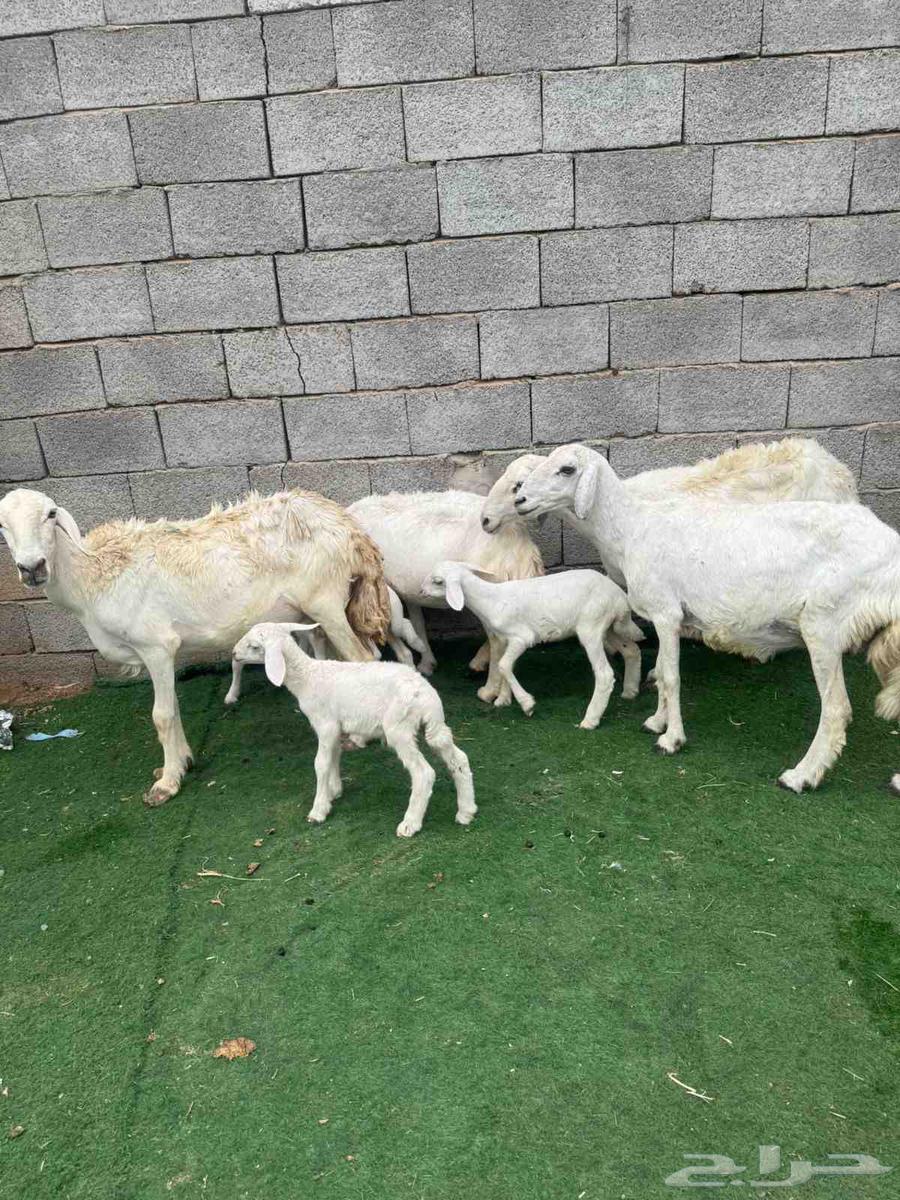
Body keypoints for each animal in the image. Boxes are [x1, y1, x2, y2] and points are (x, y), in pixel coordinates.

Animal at [0, 488, 391, 807]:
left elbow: (161, 715)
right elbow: (173, 708)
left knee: (362, 657)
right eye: (2, 524)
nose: (32, 568)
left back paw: (358, 737)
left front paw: (166, 785)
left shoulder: (155, 644)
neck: (90, 577)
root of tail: (347, 525)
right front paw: (181, 762)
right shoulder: (163, 653)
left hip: (326, 599)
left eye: (51, 514)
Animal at [231, 622, 477, 837]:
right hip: (436, 723)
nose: (233, 654)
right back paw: (466, 811)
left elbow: (320, 764)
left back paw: (410, 823)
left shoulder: (325, 724)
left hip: (399, 727)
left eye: (254, 646)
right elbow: (334, 756)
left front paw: (318, 809)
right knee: (459, 759)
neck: (308, 677)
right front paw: (334, 791)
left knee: (423, 773)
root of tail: (424, 694)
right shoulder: (335, 727)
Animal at [421, 561, 644, 726]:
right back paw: (630, 691)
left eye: (437, 581)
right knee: (632, 650)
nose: (421, 591)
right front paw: (503, 700)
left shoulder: (521, 637)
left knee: (604, 674)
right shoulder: (504, 639)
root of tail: (620, 598)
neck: (490, 600)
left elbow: (503, 665)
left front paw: (526, 704)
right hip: (610, 627)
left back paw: (590, 720)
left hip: (592, 626)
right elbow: (504, 666)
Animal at [513, 443, 900, 792]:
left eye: (566, 470)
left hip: (825, 623)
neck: (631, 528)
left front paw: (671, 739)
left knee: (836, 710)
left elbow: (671, 677)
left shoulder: (666, 612)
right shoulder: (668, 617)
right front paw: (656, 721)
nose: (520, 501)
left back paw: (801, 776)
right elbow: (664, 672)